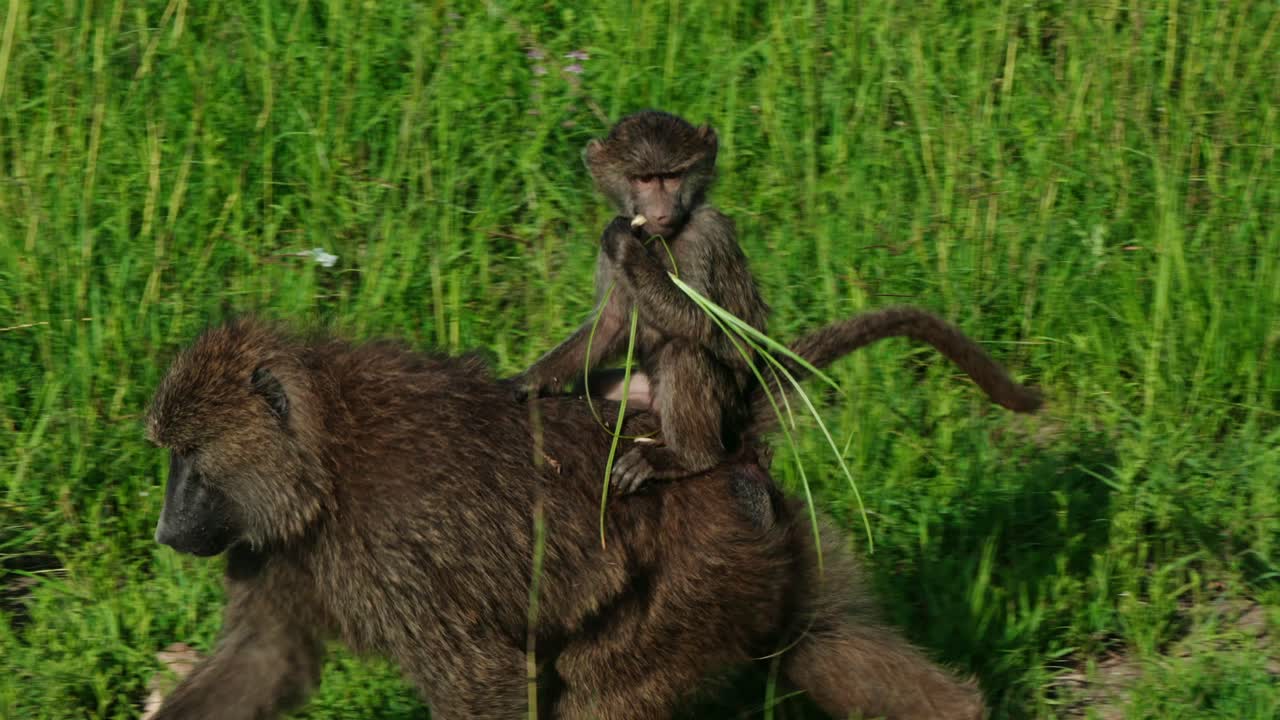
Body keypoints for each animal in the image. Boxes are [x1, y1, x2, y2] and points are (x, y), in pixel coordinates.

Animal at [144, 317, 990, 720]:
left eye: (189, 459)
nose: (165, 530)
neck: (323, 468)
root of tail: (717, 453)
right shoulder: (266, 548)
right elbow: (263, 662)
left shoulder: (401, 554)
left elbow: (480, 681)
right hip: (766, 555)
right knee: (822, 640)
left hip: (687, 585)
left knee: (601, 696)